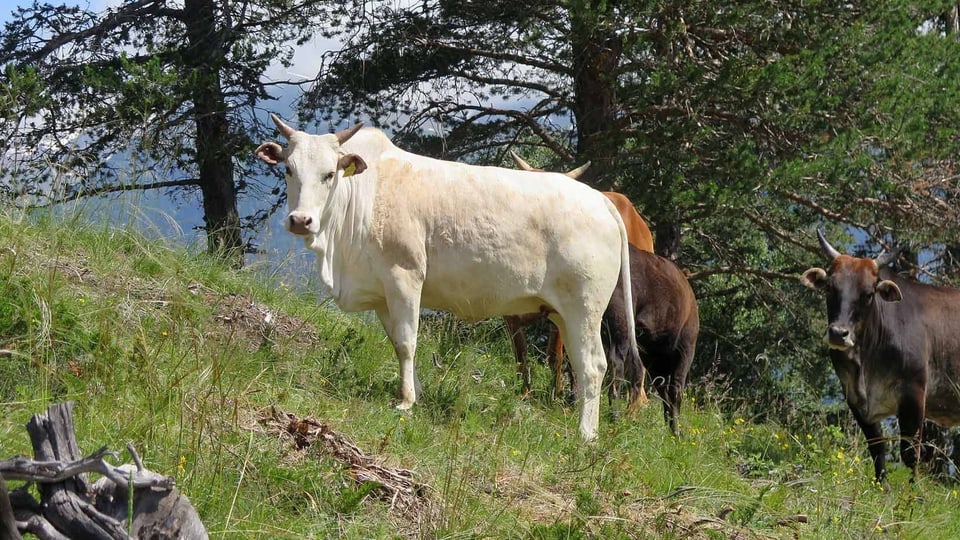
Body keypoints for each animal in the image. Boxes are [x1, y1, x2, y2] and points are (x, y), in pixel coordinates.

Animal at [256, 115, 636, 438]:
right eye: (288, 169)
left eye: (329, 174)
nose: (300, 220)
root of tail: (599, 199)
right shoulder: (382, 295)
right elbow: (397, 342)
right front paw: (417, 393)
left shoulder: (405, 277)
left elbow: (407, 342)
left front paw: (406, 401)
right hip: (563, 314)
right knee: (579, 362)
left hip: (585, 308)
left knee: (593, 365)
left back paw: (586, 434)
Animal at [600, 245, 696, 434]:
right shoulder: (686, 348)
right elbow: (675, 390)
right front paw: (675, 431)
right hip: (622, 326)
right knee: (617, 366)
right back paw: (615, 416)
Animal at [800, 230, 960, 484]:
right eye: (829, 288)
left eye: (867, 294)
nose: (838, 333)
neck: (866, 363)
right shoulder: (855, 398)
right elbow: (877, 447)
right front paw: (881, 485)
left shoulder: (914, 394)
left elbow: (910, 452)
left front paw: (912, 490)